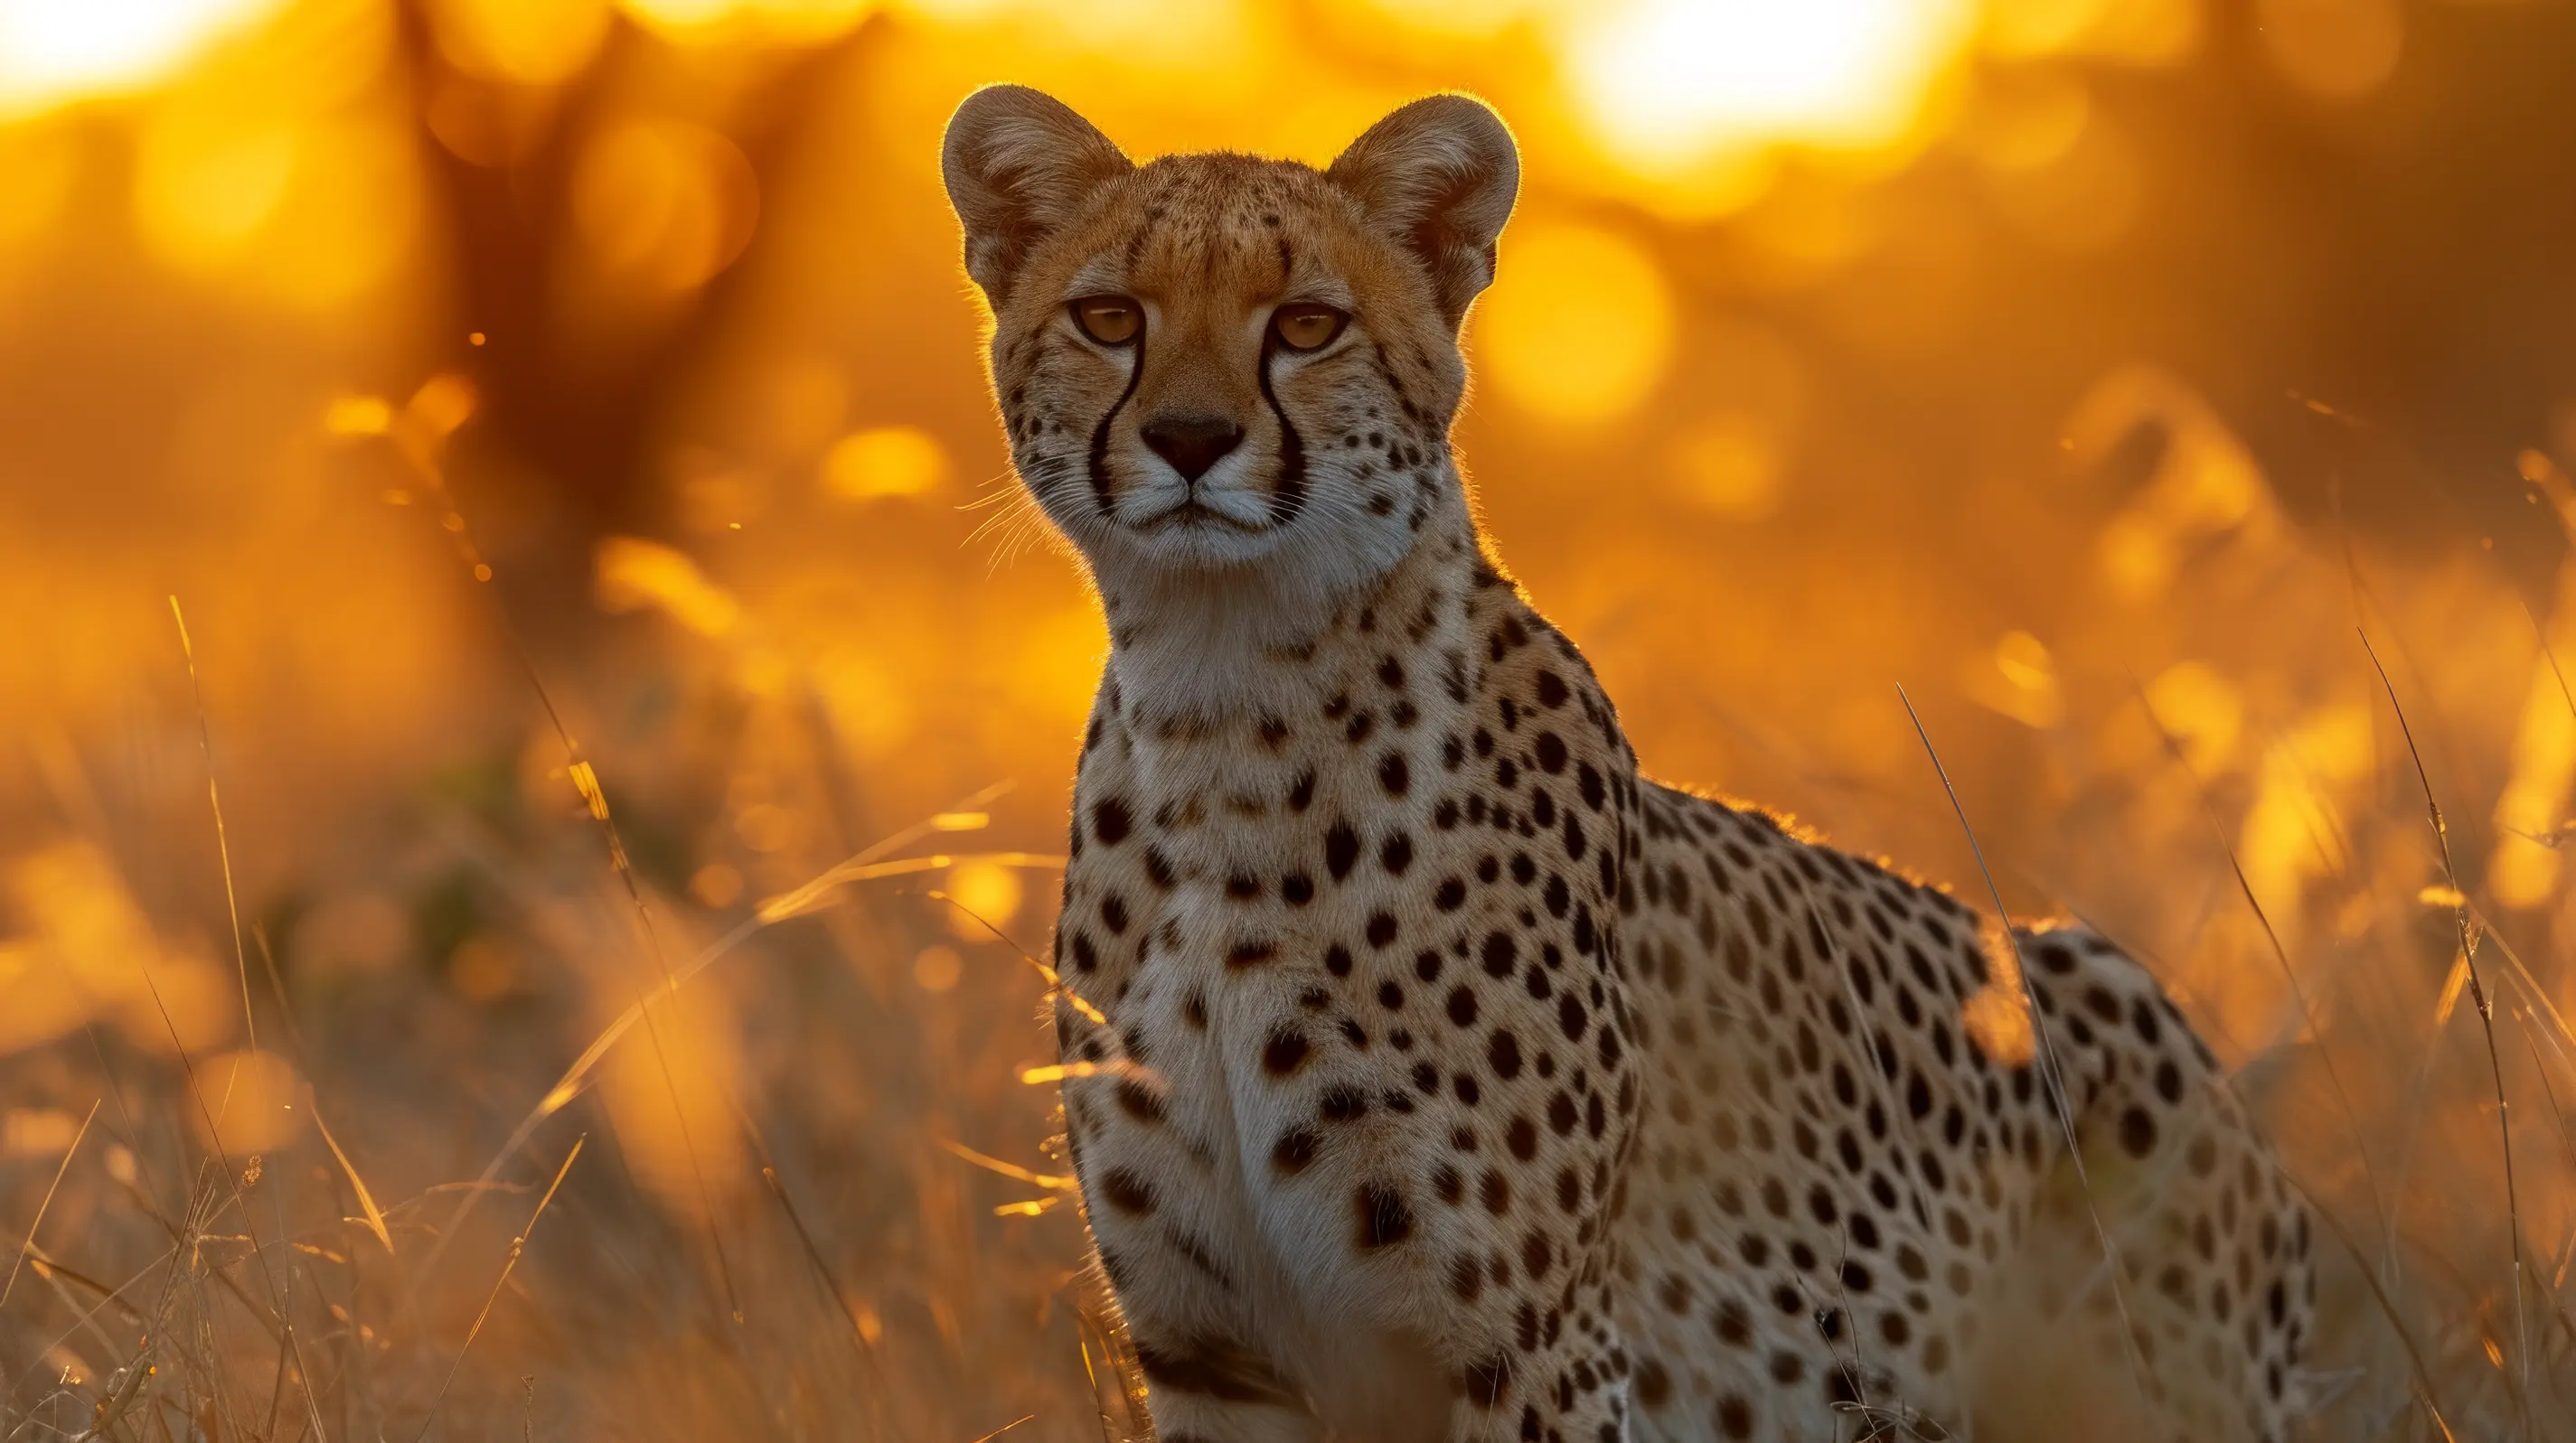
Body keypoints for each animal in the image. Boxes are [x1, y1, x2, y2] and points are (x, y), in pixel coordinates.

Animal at [940, 84, 2313, 1443]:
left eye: (1307, 325)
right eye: (1111, 318)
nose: (1188, 437)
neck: (1221, 709)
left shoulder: (1532, 1347)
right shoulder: (1213, 1353)